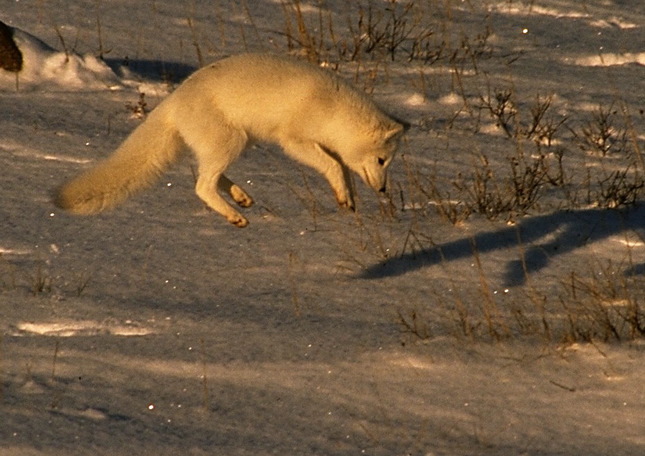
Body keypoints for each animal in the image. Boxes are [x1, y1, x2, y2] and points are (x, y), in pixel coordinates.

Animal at [55, 52, 408, 227]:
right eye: (381, 160)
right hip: (232, 141)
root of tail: (174, 99)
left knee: (207, 174)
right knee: (202, 185)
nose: (383, 190)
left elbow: (341, 168)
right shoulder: (293, 141)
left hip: (235, 143)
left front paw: (347, 197)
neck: (333, 110)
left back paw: (241, 197)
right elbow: (332, 165)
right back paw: (235, 215)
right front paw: (345, 195)